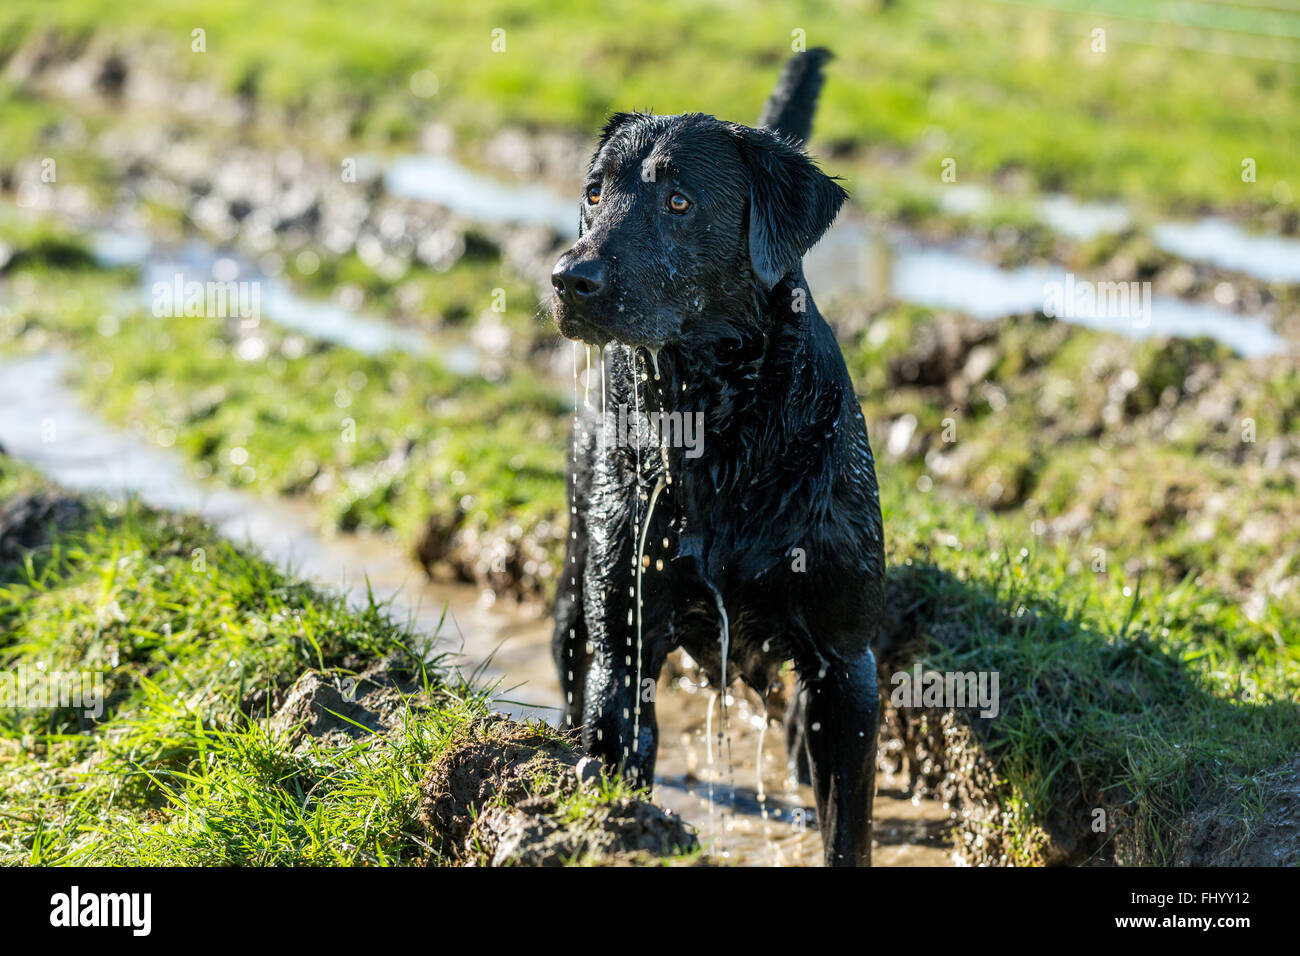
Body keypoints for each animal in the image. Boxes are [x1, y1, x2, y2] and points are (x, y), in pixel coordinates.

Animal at [548, 48, 883, 868]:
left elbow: (847, 829)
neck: (718, 433)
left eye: (678, 201)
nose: (569, 278)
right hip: (576, 581)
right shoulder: (625, 643)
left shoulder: (845, 666)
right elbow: (617, 761)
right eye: (595, 193)